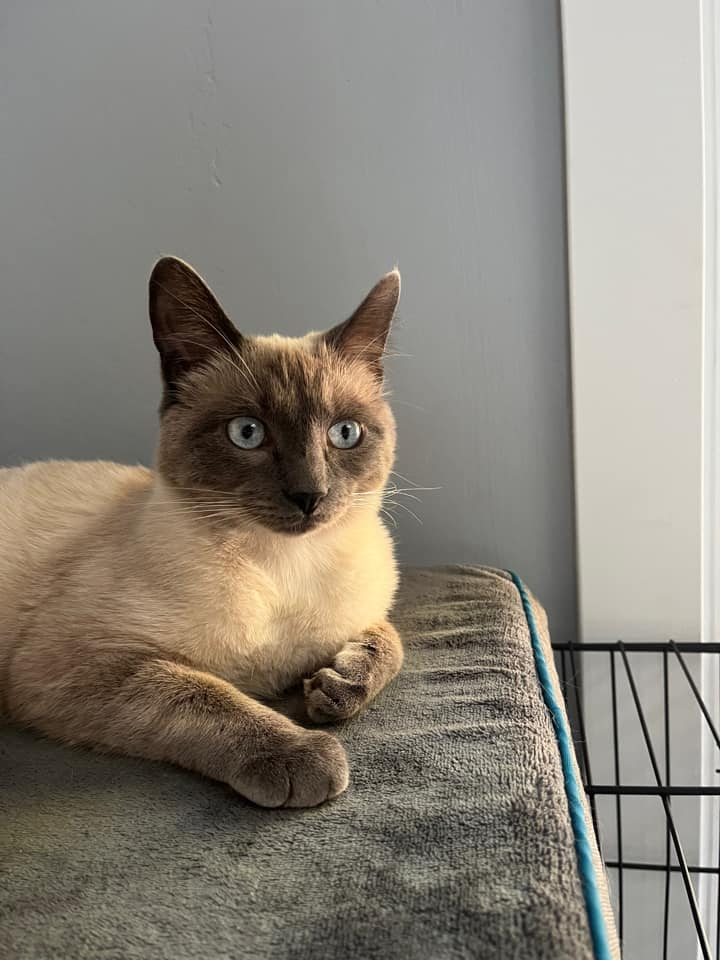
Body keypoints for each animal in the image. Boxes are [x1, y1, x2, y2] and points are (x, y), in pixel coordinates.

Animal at [0, 256, 404, 808]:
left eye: (345, 433)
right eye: (247, 433)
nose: (310, 496)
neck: (282, 568)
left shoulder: (369, 610)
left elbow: (390, 642)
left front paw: (337, 687)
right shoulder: (82, 665)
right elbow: (204, 694)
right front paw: (304, 755)